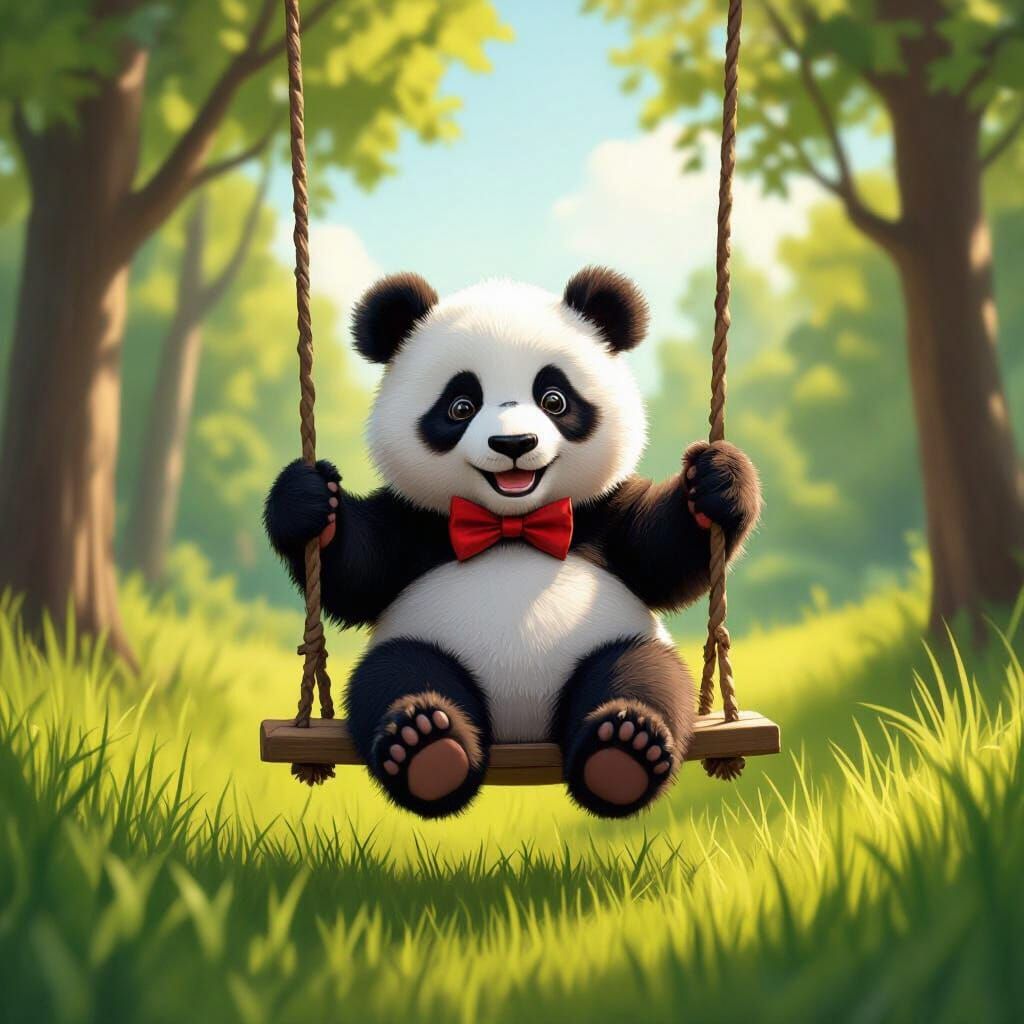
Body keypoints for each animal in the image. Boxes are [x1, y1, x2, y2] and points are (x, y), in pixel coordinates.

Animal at [265, 267, 761, 820]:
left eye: (554, 400)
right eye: (461, 406)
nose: (513, 445)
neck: (512, 523)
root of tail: (520, 732)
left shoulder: (604, 516)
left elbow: (664, 557)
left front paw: (717, 480)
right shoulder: (414, 524)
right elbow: (357, 573)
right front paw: (308, 499)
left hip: (619, 642)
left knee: (643, 671)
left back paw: (625, 747)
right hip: (420, 644)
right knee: (396, 672)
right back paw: (426, 744)